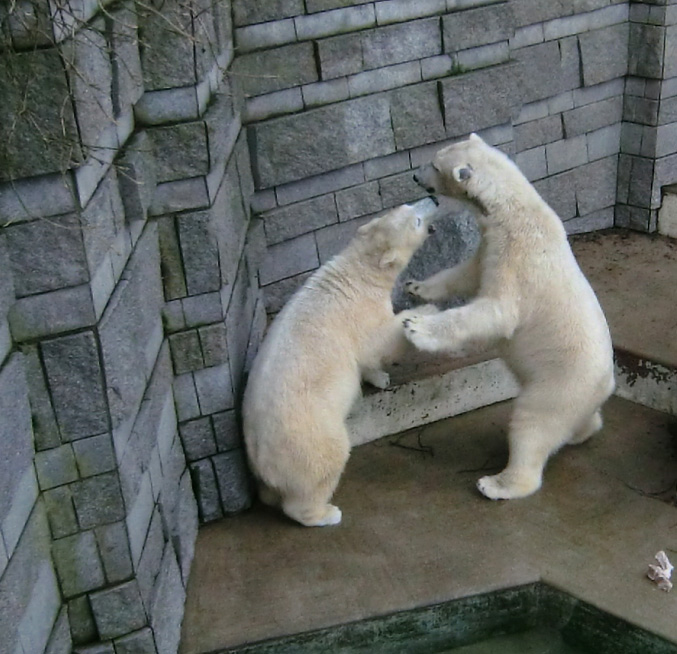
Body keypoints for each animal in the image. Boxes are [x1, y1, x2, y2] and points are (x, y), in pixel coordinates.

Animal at [243, 200, 438, 528]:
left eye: (408, 206)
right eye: (416, 221)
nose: (432, 199)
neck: (357, 270)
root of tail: (259, 457)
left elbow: (367, 357)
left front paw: (380, 377)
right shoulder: (360, 311)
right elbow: (379, 340)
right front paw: (425, 312)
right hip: (309, 437)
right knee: (324, 465)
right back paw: (326, 514)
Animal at [404, 133, 616, 502]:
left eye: (434, 165)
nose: (416, 177)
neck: (513, 211)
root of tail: (608, 385)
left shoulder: (519, 260)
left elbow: (495, 313)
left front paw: (416, 326)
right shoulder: (490, 247)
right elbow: (465, 275)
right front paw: (417, 287)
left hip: (561, 385)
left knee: (532, 424)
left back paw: (497, 483)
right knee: (577, 423)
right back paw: (581, 433)